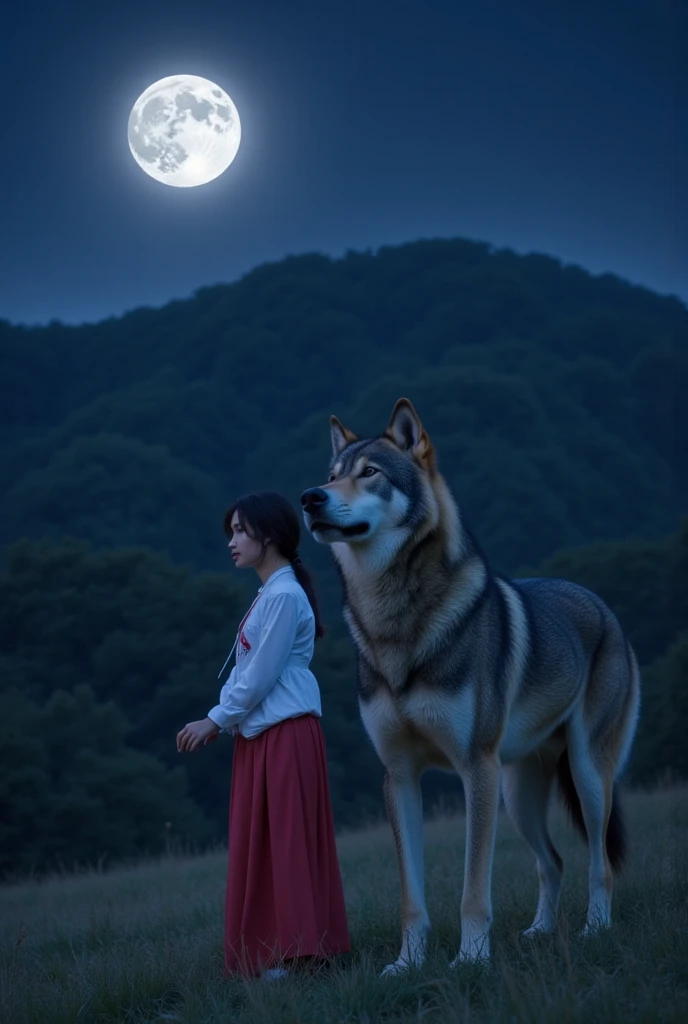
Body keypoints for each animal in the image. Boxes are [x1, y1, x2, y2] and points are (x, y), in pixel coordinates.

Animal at [301, 398, 640, 974]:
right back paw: (539, 931)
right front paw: (407, 966)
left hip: (586, 777)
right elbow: (411, 899)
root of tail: (601, 604)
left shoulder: (474, 769)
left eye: (370, 473)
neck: (396, 627)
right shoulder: (400, 777)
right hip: (518, 794)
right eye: (331, 475)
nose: (309, 498)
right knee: (552, 861)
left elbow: (472, 890)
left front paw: (471, 959)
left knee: (599, 864)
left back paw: (595, 929)